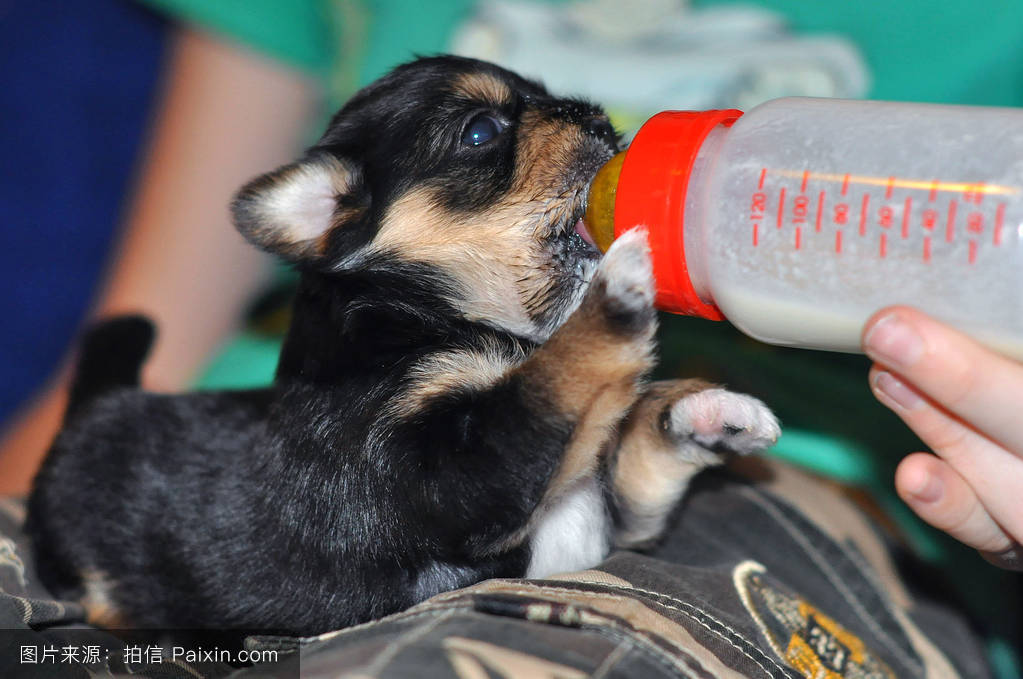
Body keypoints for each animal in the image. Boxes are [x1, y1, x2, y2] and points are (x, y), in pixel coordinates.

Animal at [28, 54, 777, 638]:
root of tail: (96, 402)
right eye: (480, 131)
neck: (444, 316)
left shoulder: (607, 508)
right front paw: (619, 290)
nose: (598, 119)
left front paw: (710, 411)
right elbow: (550, 381)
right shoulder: (445, 470)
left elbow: (635, 431)